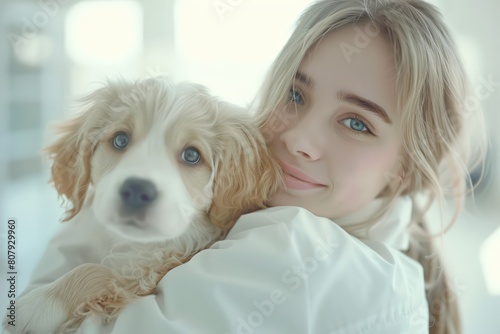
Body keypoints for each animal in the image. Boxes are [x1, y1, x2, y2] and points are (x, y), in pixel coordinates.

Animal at [3, 77, 284, 334]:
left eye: (192, 155)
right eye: (120, 140)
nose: (137, 190)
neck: (135, 243)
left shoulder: (147, 273)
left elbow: (98, 271)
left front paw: (36, 306)